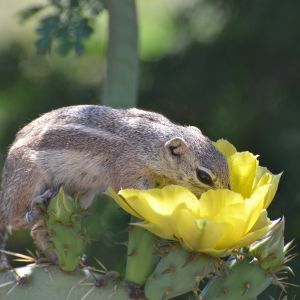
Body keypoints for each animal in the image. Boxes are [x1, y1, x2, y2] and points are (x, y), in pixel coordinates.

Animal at [0, 104, 230, 268]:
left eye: (225, 162)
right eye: (204, 176)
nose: (226, 194)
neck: (150, 143)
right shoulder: (125, 169)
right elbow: (134, 189)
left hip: (82, 195)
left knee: (38, 232)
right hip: (28, 177)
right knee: (16, 218)